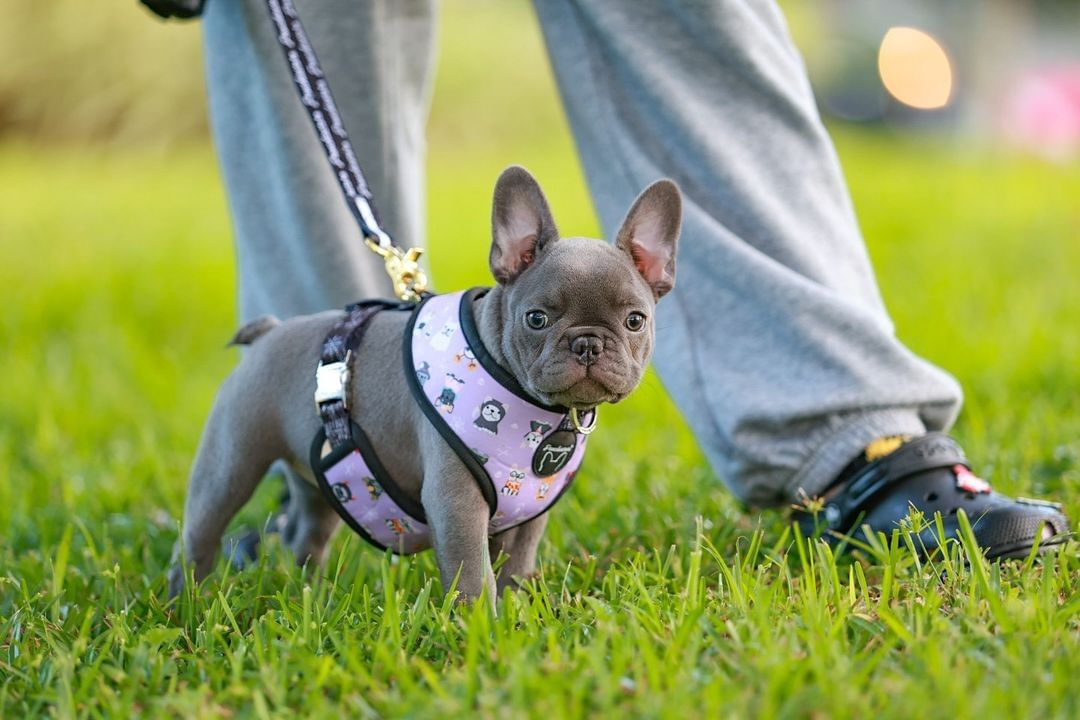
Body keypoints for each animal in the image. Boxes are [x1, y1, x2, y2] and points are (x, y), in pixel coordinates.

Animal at [168, 167, 678, 604]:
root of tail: (269, 332)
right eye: (537, 319)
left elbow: (516, 566)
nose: (588, 344)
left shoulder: (530, 516)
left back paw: (310, 595)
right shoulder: (456, 504)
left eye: (635, 321)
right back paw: (186, 603)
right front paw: (480, 627)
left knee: (306, 535)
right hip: (230, 463)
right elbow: (474, 575)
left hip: (321, 481)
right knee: (197, 538)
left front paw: (517, 612)